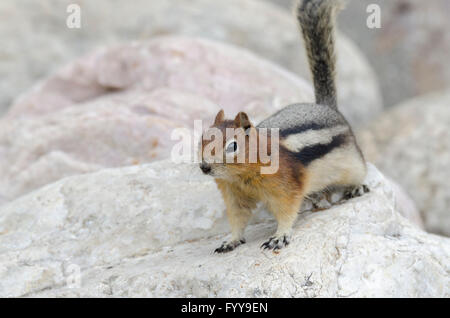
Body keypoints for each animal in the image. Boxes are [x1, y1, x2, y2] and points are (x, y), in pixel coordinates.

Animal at [199, 0, 368, 253]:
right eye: (202, 139)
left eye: (232, 146)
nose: (204, 167)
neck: (241, 176)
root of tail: (326, 107)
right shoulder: (234, 194)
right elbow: (237, 219)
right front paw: (231, 240)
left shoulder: (286, 188)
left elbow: (287, 212)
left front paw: (279, 236)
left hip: (353, 163)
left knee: (361, 173)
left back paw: (356, 188)